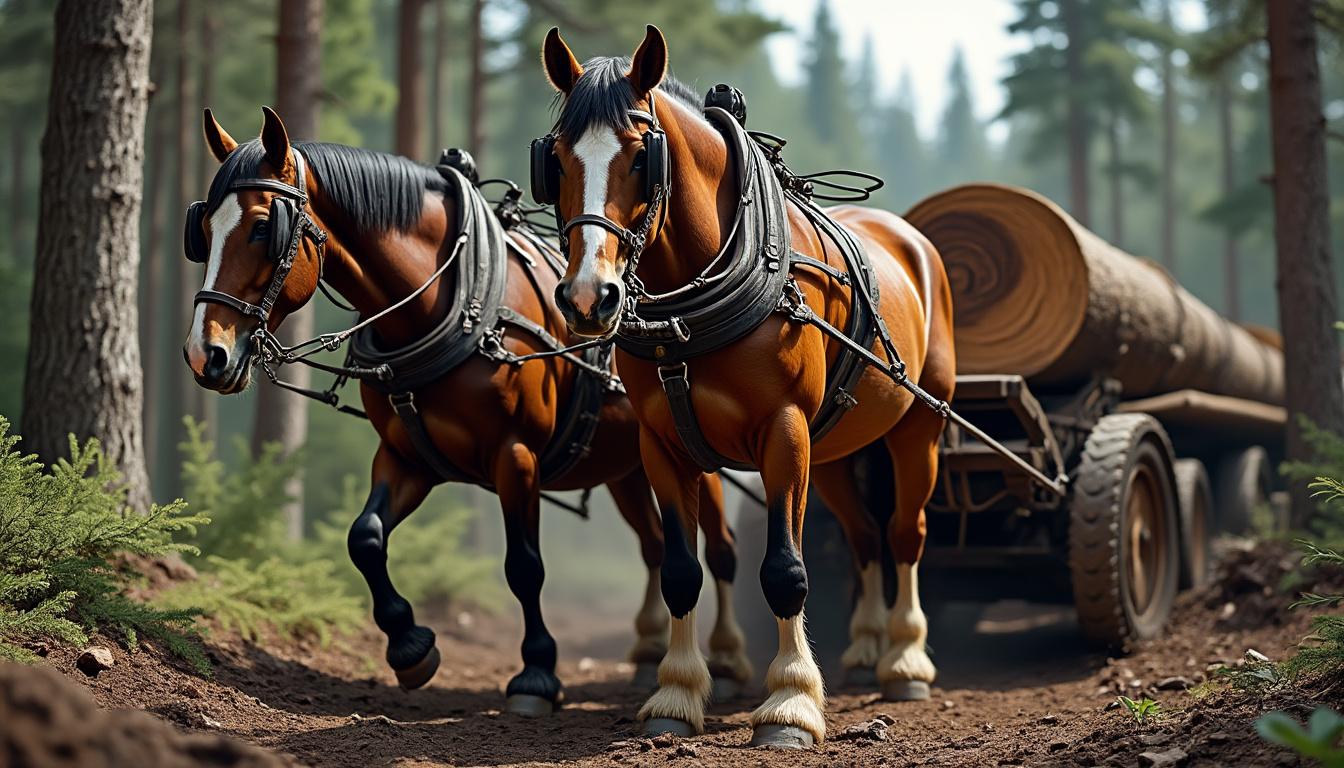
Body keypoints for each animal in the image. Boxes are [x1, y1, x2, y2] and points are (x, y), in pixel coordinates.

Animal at [181, 107, 754, 714]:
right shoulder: (407, 457)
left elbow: (524, 566)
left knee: (721, 549)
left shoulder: (515, 455)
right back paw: (648, 656)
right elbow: (364, 538)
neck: (449, 301)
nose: (205, 353)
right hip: (626, 465)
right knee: (654, 545)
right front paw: (410, 646)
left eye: (262, 227)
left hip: (689, 450)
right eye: (203, 229)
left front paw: (536, 674)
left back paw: (726, 662)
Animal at [535, 27, 956, 746]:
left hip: (917, 428)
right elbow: (682, 570)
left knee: (906, 533)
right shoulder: (662, 444)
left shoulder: (783, 431)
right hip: (835, 451)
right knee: (865, 536)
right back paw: (865, 645)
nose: (589, 296)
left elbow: (784, 570)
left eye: (640, 157)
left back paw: (904, 659)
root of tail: (913, 239)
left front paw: (790, 703)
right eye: (556, 160)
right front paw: (676, 693)